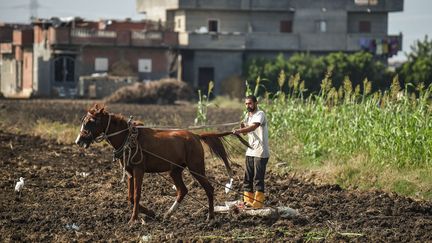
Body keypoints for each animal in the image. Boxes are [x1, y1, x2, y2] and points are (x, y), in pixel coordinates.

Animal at [76, 104, 248, 224]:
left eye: (91, 121)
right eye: (83, 121)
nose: (79, 141)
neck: (128, 138)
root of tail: (196, 136)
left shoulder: (139, 170)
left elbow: (137, 195)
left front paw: (133, 220)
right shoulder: (130, 172)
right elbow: (130, 197)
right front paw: (151, 213)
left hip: (196, 168)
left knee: (209, 189)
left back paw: (210, 217)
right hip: (175, 171)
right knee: (182, 190)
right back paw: (168, 214)